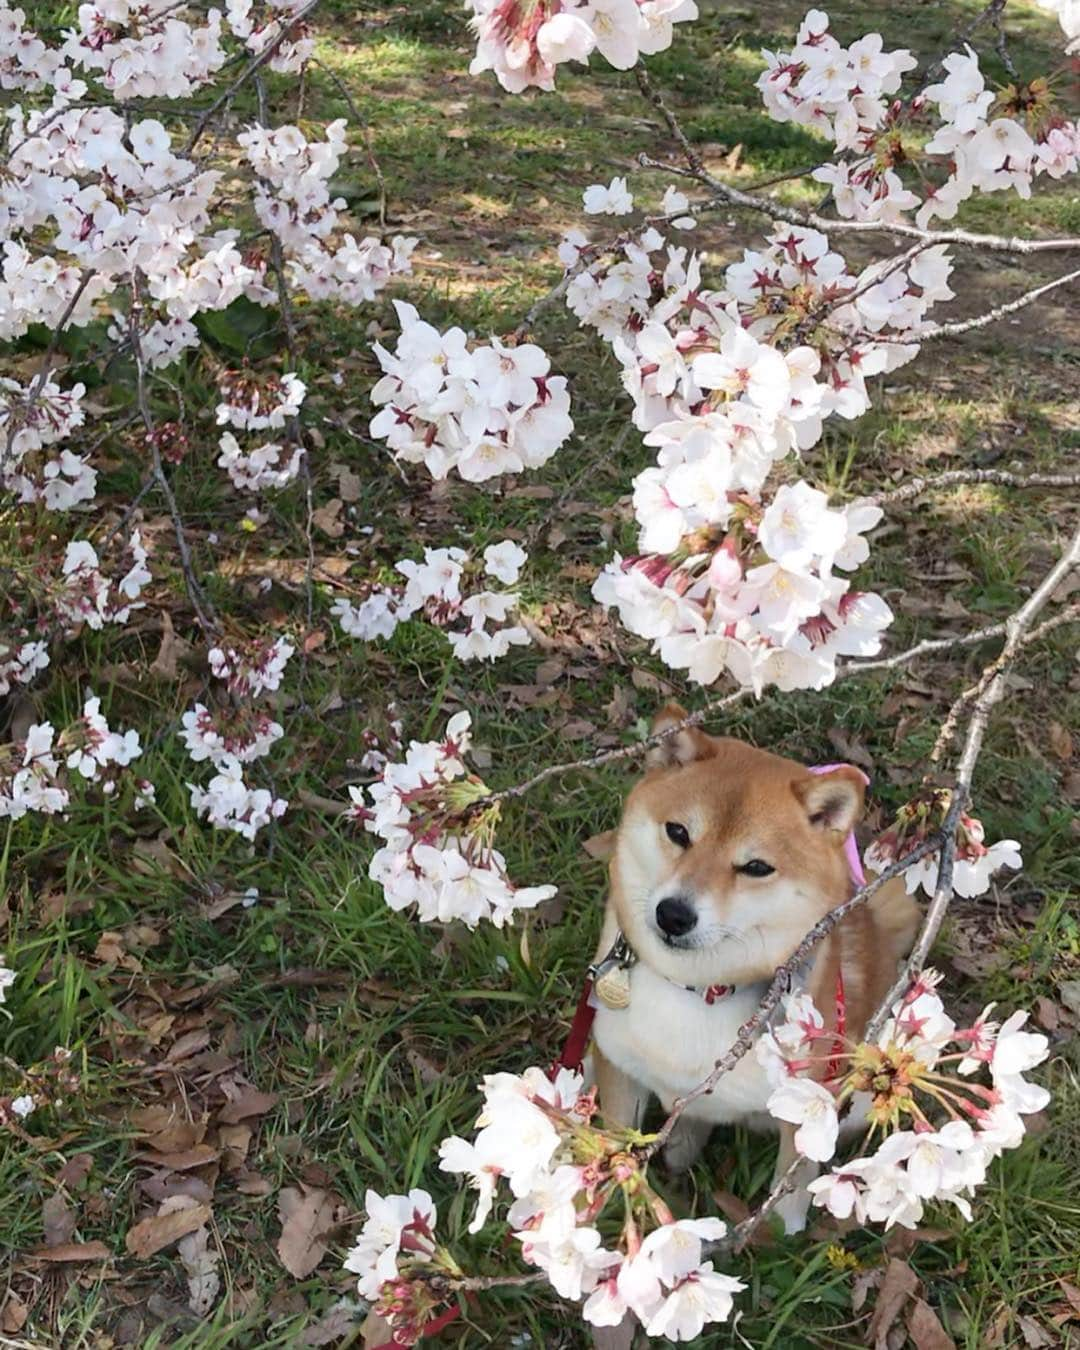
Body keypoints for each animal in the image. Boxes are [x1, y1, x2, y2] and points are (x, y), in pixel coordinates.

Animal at [585, 707, 918, 1236]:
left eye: (756, 867)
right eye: (678, 832)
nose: (674, 914)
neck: (695, 991)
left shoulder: (807, 1108)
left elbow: (792, 1183)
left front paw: (780, 1233)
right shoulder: (620, 1068)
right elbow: (615, 1151)